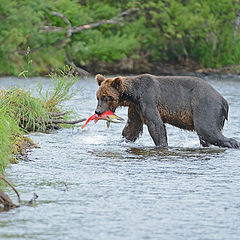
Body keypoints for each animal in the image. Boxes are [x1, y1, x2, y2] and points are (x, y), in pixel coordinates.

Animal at [94, 73, 239, 148]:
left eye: (106, 97)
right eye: (98, 97)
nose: (98, 111)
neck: (133, 94)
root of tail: (224, 101)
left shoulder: (148, 99)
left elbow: (155, 124)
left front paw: (162, 145)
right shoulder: (136, 108)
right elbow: (132, 128)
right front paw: (120, 141)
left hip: (206, 107)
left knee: (207, 131)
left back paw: (234, 143)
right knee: (206, 138)